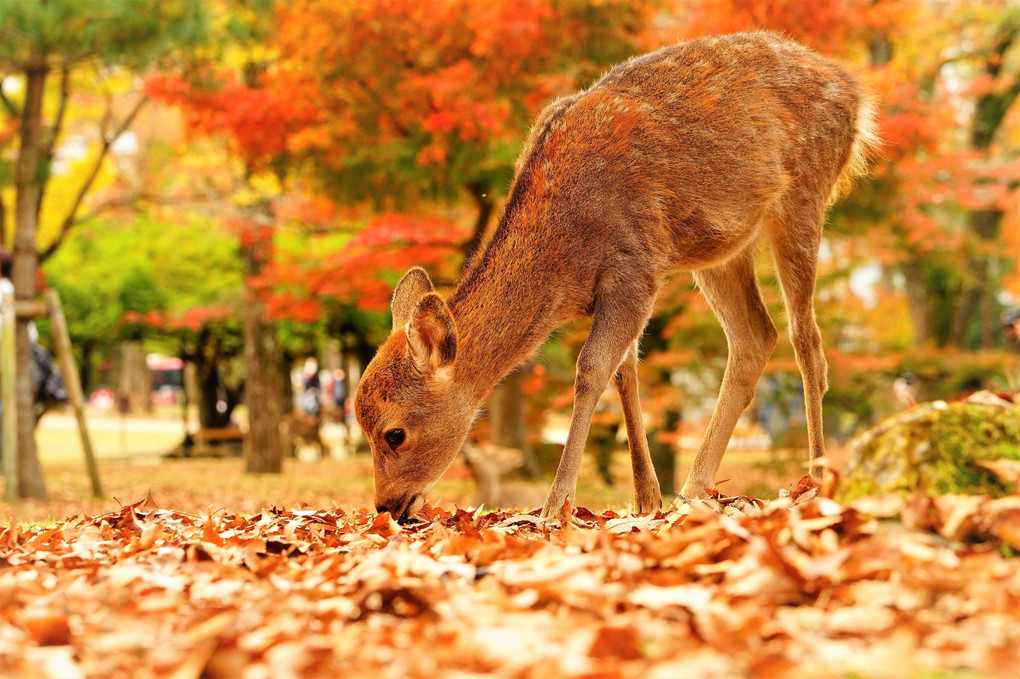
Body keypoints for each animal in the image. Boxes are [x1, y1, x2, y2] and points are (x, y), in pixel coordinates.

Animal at [357, 31, 877, 519]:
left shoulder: (635, 265)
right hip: (721, 247)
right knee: (755, 336)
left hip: (804, 194)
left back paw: (815, 478)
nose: (386, 506)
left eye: (394, 433)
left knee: (806, 340)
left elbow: (592, 370)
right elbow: (626, 372)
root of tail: (855, 93)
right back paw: (693, 489)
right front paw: (647, 498)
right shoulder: (627, 283)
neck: (565, 263)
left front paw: (556, 504)